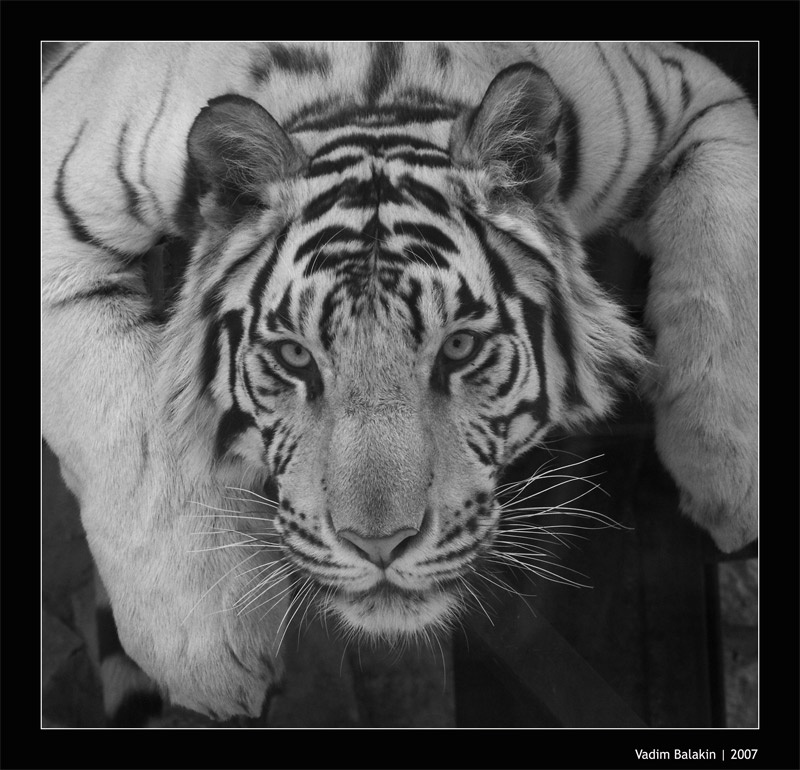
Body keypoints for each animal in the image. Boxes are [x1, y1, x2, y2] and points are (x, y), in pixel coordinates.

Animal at [42, 41, 757, 724]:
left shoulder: (698, 99)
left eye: (459, 346)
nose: (378, 545)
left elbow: (726, 260)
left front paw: (731, 487)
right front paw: (207, 652)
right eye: (296, 357)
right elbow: (136, 437)